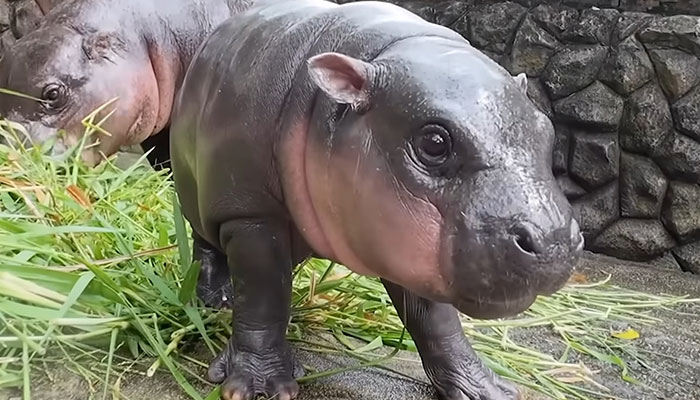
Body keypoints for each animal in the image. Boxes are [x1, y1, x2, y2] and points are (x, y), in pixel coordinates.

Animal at [170, 1, 584, 398]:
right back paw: (218, 299)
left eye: (546, 130)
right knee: (207, 247)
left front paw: (489, 390)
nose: (555, 241)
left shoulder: (409, 248)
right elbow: (262, 296)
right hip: (200, 196)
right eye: (434, 141)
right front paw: (258, 386)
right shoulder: (253, 215)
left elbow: (436, 322)